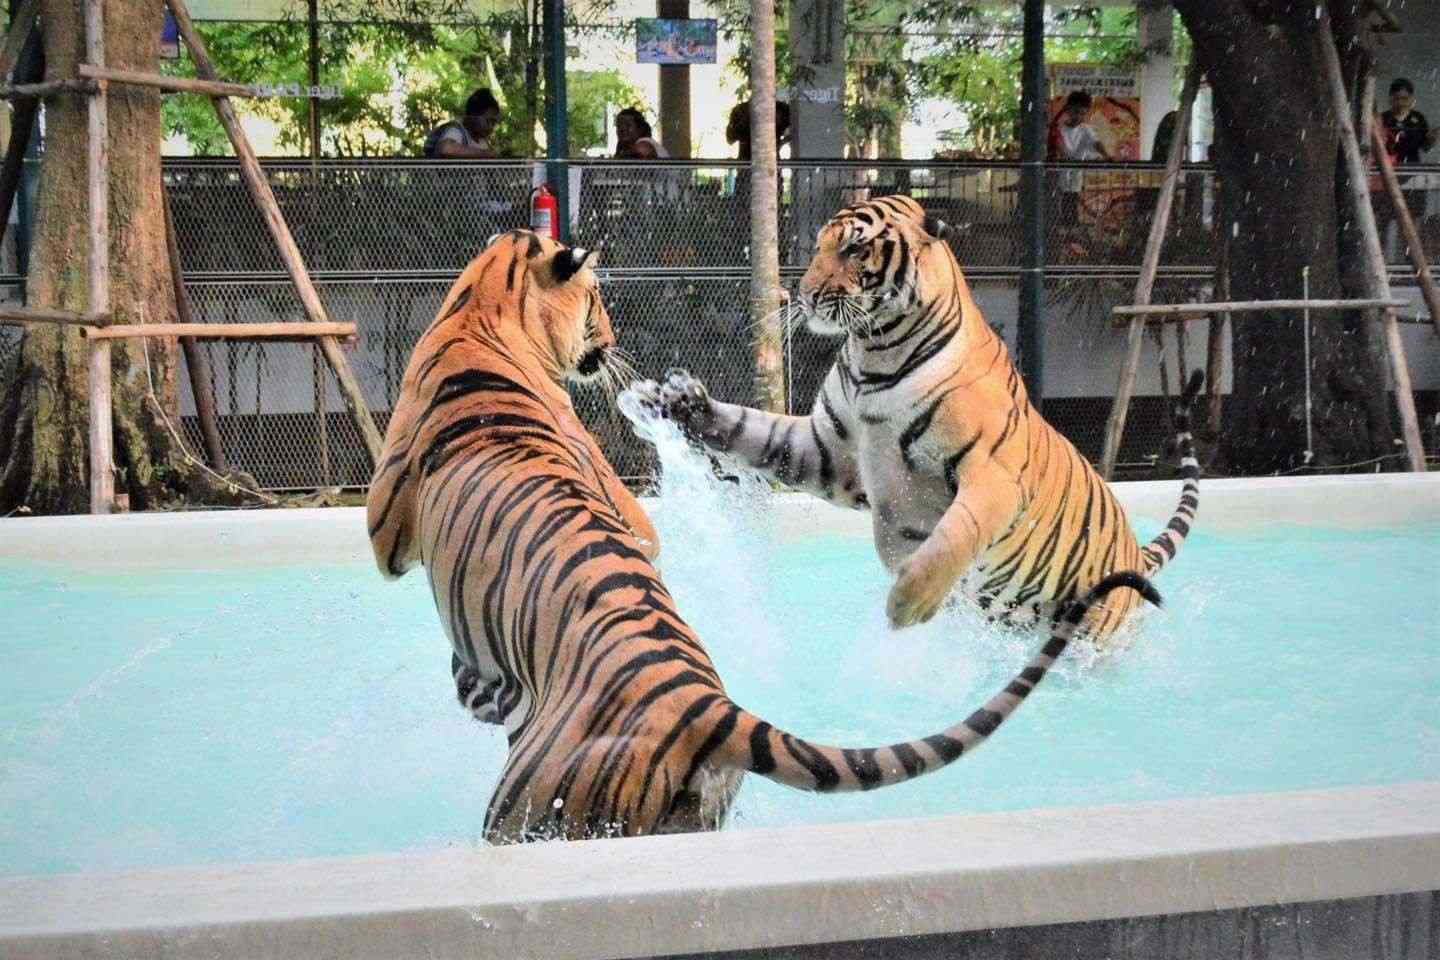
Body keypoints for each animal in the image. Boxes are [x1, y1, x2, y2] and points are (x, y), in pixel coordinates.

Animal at [366, 228, 1161, 842]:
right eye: (595, 302)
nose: (614, 343)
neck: (482, 308)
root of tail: (705, 705)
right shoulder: (634, 515)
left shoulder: (386, 526)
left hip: (525, 808)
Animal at [626, 195, 1200, 643]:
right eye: (820, 246)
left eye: (854, 248)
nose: (805, 295)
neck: (874, 352)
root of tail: (1134, 550)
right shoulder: (826, 450)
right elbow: (751, 430)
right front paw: (672, 400)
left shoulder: (991, 475)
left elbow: (955, 535)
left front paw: (908, 605)